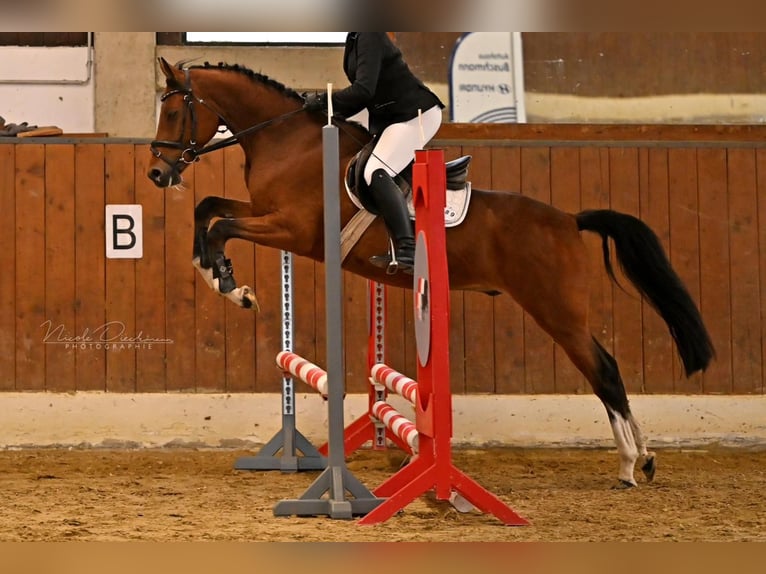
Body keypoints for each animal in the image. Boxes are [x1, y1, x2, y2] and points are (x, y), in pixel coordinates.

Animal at [147, 57, 715, 489]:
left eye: (174, 111)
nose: (156, 172)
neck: (287, 140)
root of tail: (568, 220)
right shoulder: (265, 212)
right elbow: (209, 208)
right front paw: (218, 272)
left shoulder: (291, 229)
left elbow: (221, 224)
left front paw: (229, 284)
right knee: (607, 370)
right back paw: (645, 457)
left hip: (556, 310)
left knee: (605, 371)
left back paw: (629, 465)